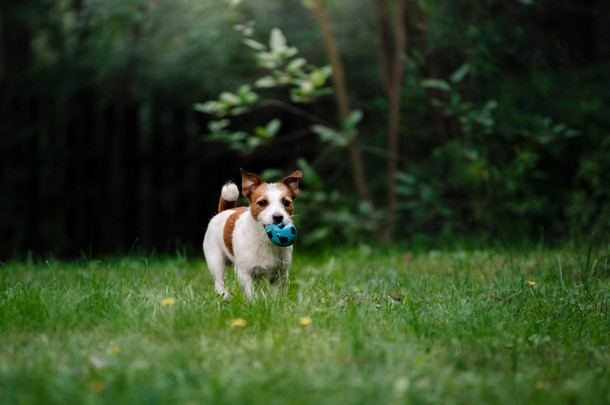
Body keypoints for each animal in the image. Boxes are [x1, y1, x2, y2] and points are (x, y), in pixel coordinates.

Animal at [202, 169, 302, 298]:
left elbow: (275, 292)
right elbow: (250, 292)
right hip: (215, 259)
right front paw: (254, 301)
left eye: (286, 202)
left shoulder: (281, 273)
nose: (278, 217)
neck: (264, 240)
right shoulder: (244, 272)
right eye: (262, 203)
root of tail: (226, 210)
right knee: (218, 281)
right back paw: (224, 296)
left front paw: (273, 301)